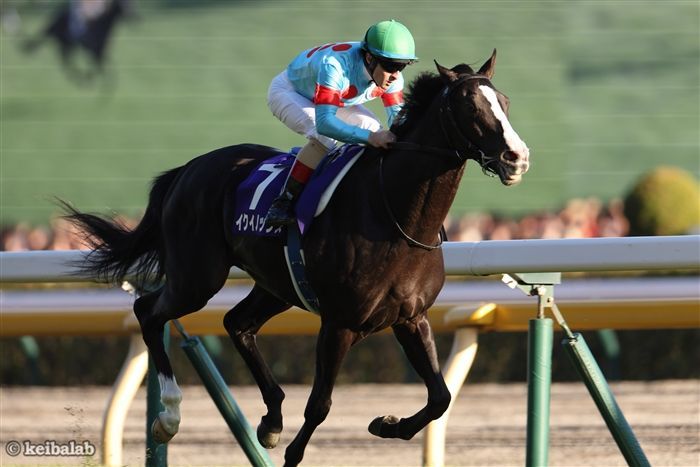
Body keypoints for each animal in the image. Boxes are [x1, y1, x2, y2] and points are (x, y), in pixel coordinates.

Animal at [63, 50, 530, 466]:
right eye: (469, 105)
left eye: (506, 102)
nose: (517, 157)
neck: (395, 214)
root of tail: (187, 169)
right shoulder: (339, 322)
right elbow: (320, 404)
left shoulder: (410, 317)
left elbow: (440, 397)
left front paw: (386, 424)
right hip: (197, 276)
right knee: (149, 311)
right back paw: (170, 416)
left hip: (275, 284)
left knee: (236, 323)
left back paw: (270, 420)